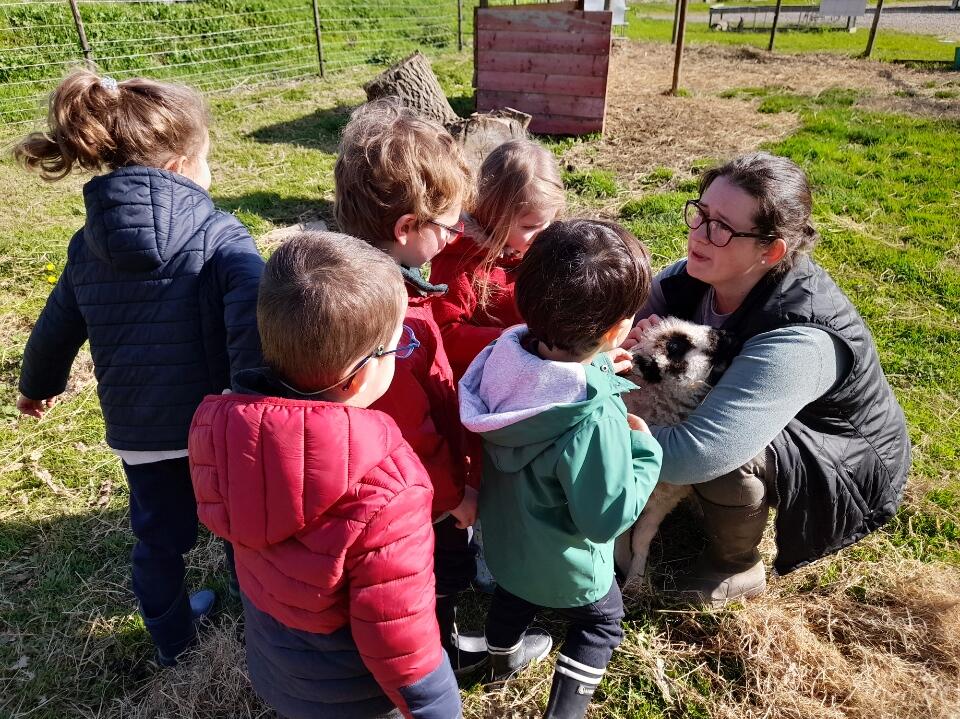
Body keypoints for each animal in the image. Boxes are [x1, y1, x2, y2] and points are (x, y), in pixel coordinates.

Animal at [616, 318, 736, 592]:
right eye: (674, 346)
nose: (726, 333)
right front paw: (625, 572)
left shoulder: (664, 499)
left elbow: (640, 539)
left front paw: (635, 580)